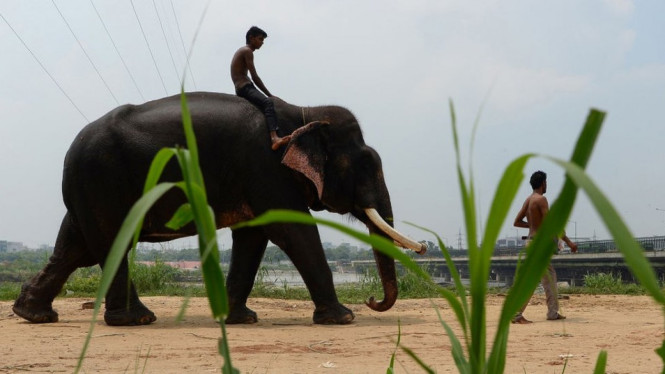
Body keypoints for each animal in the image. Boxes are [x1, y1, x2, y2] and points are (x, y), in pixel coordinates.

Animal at [14, 92, 426, 326]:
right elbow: (292, 230)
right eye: (366, 164)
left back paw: (32, 314)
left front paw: (240, 320)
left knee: (75, 247)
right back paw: (136, 320)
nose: (372, 301)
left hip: (89, 190)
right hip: (104, 181)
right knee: (111, 243)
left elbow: (254, 236)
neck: (301, 112)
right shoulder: (265, 166)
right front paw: (344, 318)